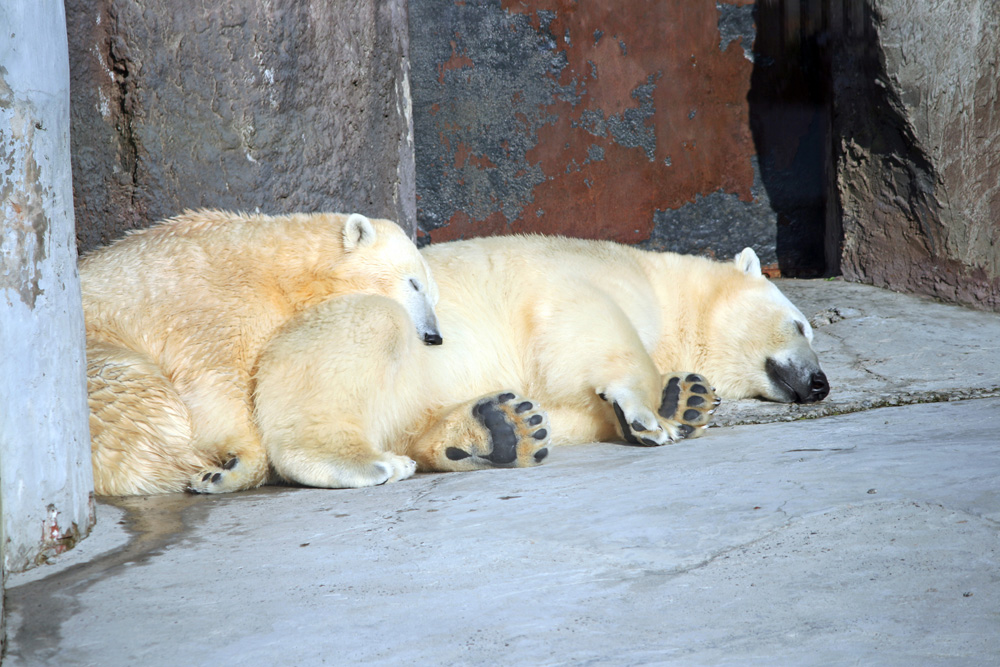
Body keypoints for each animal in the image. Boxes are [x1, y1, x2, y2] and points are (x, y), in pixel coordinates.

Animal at [78, 210, 438, 496]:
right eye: (413, 283)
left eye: (433, 296)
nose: (434, 336)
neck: (280, 265)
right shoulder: (218, 308)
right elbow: (218, 383)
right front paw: (232, 467)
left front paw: (223, 471)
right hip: (100, 362)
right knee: (142, 399)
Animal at [252, 235, 828, 490]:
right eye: (802, 325)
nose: (821, 383)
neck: (666, 288)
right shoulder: (586, 277)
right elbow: (585, 327)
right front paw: (651, 414)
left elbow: (570, 406)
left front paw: (686, 397)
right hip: (325, 334)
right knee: (369, 330)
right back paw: (365, 463)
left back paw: (500, 430)